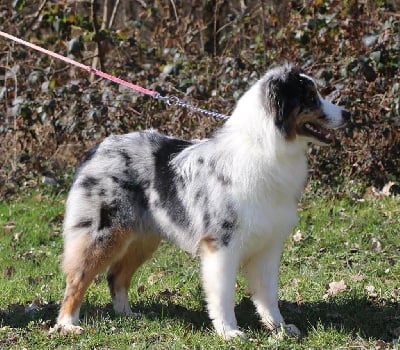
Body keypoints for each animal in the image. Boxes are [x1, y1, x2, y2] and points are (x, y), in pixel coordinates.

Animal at [52, 63, 350, 340]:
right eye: (310, 97)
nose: (349, 114)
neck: (266, 148)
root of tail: (99, 147)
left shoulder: (267, 245)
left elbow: (268, 294)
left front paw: (279, 329)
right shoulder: (221, 245)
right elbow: (223, 293)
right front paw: (229, 332)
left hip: (143, 238)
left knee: (116, 276)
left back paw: (127, 315)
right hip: (103, 234)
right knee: (77, 278)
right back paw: (68, 324)